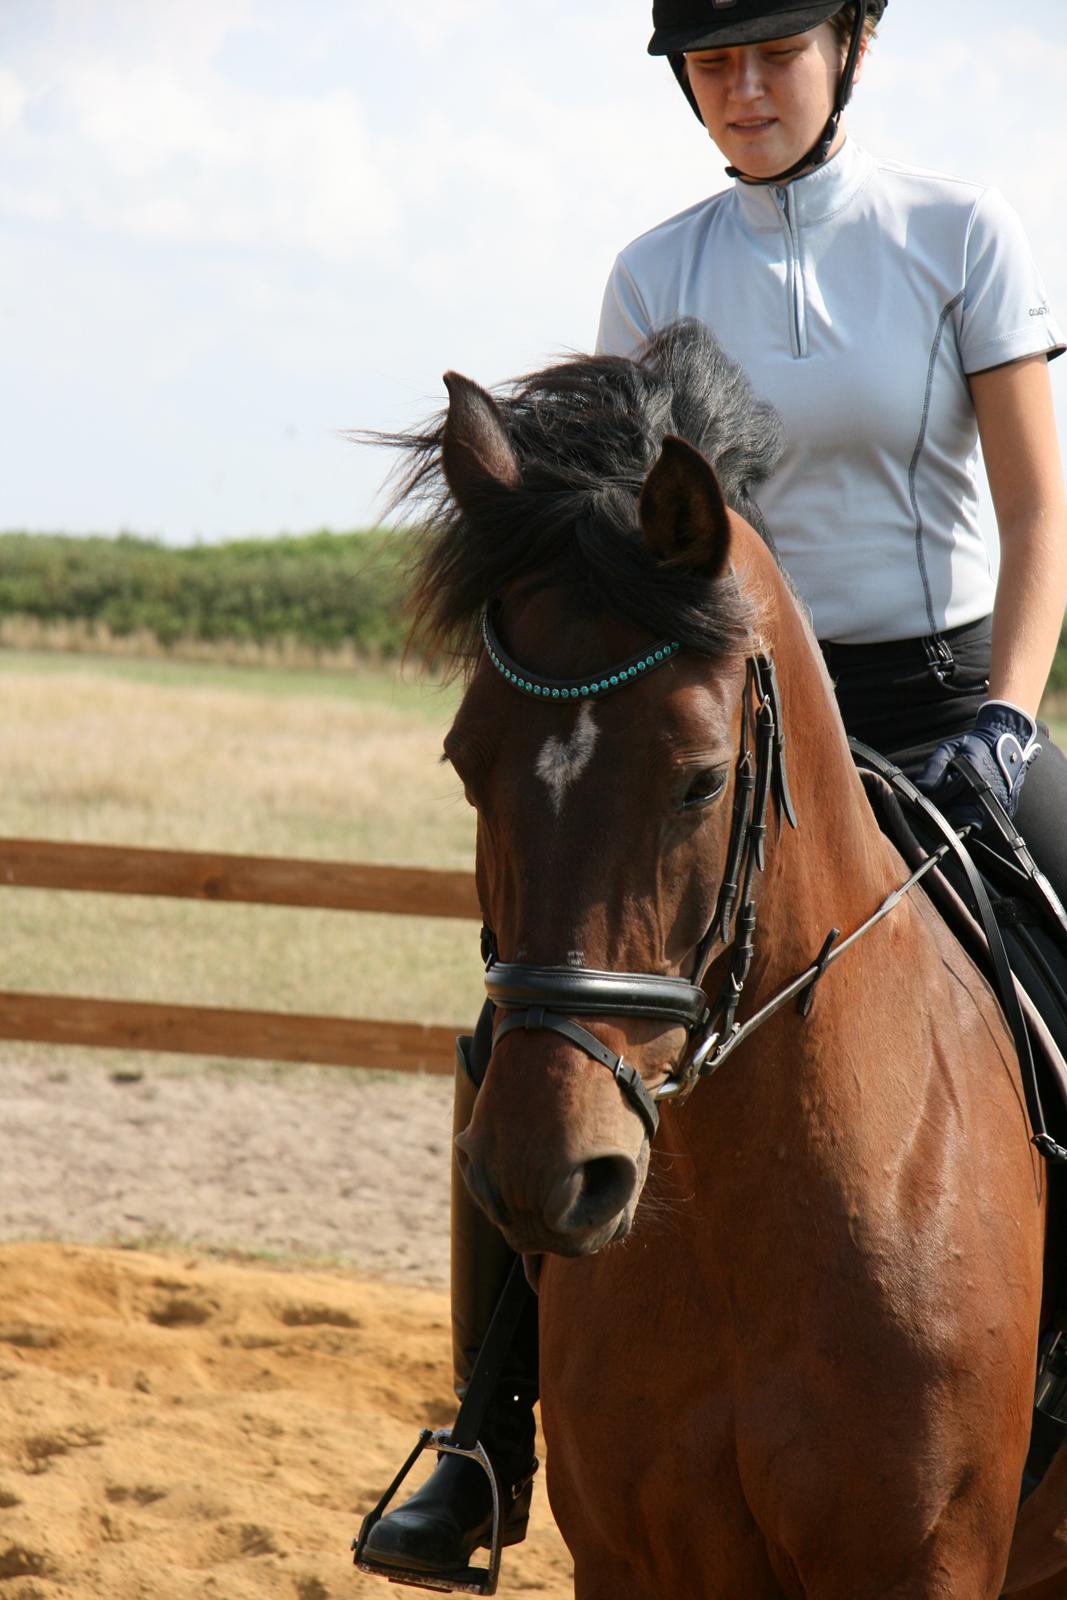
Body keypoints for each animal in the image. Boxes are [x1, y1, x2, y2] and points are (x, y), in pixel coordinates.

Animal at [391, 318, 1067, 1593]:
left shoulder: (926, 1561)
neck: (732, 1212)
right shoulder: (627, 1558)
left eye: (701, 779)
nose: (546, 1173)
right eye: (463, 761)